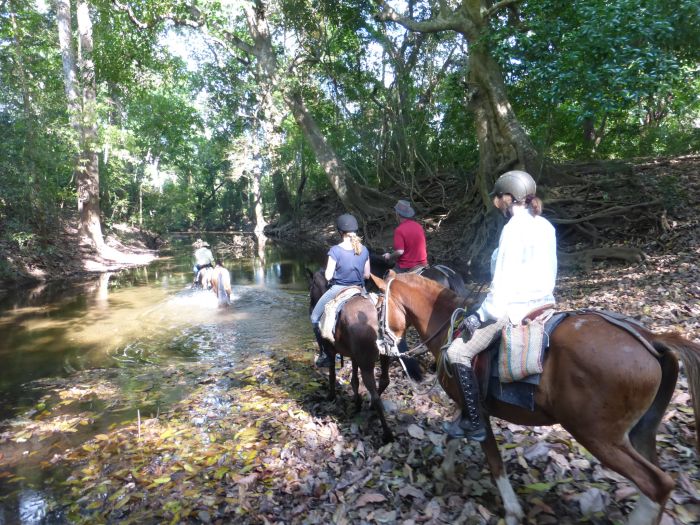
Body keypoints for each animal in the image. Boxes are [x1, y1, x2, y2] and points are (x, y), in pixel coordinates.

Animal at [306, 270, 422, 442]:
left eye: (312, 285)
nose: (310, 307)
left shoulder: (332, 352)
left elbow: (332, 376)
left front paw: (331, 396)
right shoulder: (355, 357)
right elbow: (354, 380)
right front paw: (357, 402)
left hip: (367, 364)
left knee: (375, 393)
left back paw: (387, 434)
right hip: (383, 356)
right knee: (384, 381)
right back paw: (370, 407)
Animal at [370, 270, 696, 524]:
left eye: (380, 308)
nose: (381, 345)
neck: (451, 327)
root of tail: (652, 340)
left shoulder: (477, 411)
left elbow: (494, 461)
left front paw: (512, 510)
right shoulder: (465, 405)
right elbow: (452, 437)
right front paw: (443, 473)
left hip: (598, 436)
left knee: (656, 484)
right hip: (641, 433)